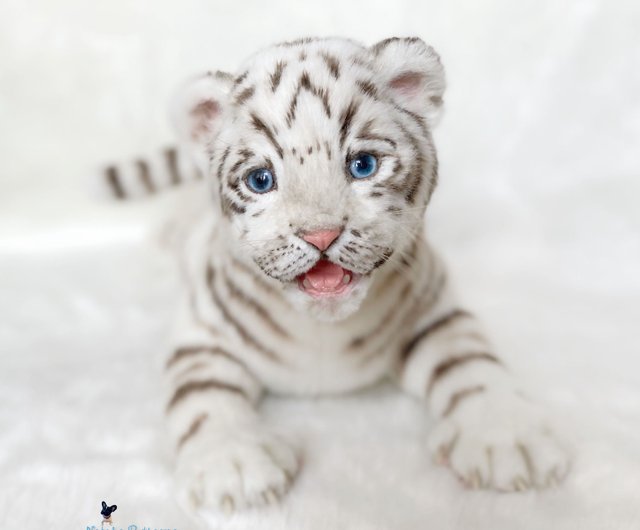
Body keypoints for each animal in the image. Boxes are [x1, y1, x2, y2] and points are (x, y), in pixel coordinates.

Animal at [102, 36, 570, 517]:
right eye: (260, 179)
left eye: (362, 165)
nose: (321, 235)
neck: (323, 331)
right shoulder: (203, 336)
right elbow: (202, 397)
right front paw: (232, 466)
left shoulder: (435, 310)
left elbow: (470, 361)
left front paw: (509, 439)